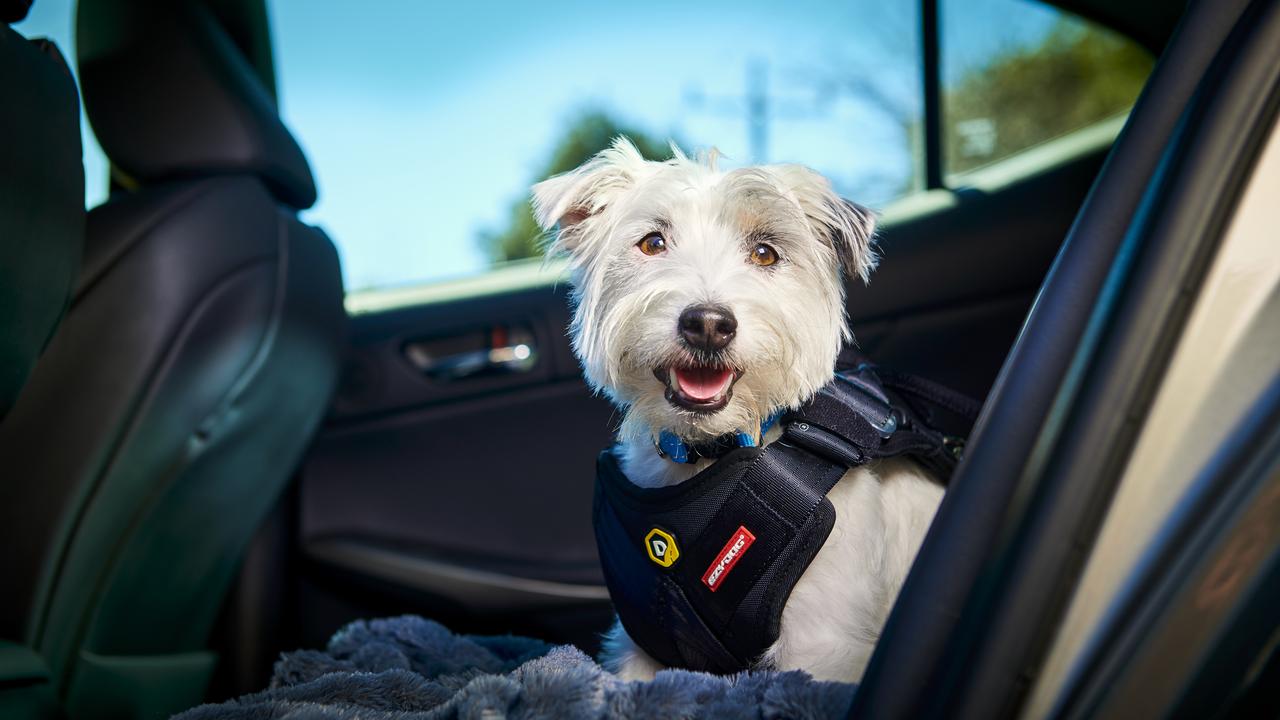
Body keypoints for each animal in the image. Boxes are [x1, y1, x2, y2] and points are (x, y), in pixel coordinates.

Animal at [535, 139, 947, 676]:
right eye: (652, 243)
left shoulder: (824, 647)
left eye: (765, 252)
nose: (708, 324)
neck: (711, 453)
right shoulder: (641, 648)